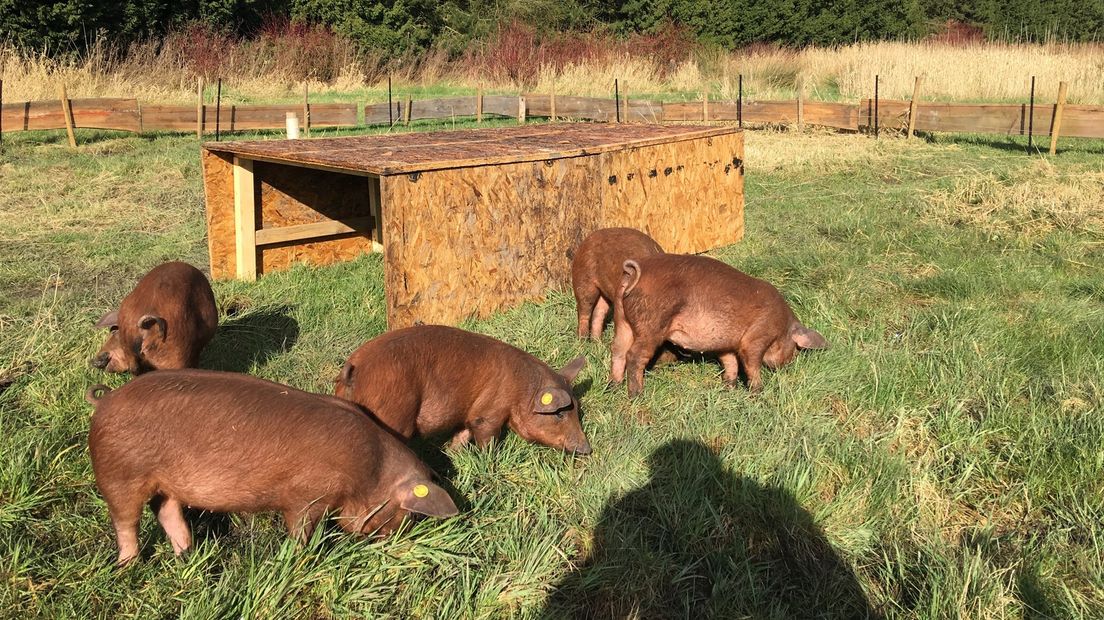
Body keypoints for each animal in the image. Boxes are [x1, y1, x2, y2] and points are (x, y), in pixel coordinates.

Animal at [85, 366, 457, 564]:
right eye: (407, 513)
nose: (390, 542)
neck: (369, 471)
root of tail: (106, 400)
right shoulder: (306, 496)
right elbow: (301, 530)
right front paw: (301, 559)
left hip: (166, 484)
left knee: (168, 512)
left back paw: (188, 556)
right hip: (120, 473)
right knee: (126, 522)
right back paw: (129, 565)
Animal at [335, 324, 596, 454]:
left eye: (577, 410)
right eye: (559, 413)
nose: (587, 449)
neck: (521, 391)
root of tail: (354, 369)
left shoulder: (467, 415)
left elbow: (462, 435)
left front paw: (453, 453)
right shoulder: (488, 414)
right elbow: (487, 438)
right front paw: (488, 459)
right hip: (392, 414)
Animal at [613, 252, 830, 392]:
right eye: (795, 349)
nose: (787, 366)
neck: (783, 325)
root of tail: (636, 271)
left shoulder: (726, 345)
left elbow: (730, 363)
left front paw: (729, 388)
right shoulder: (758, 335)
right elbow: (751, 362)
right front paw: (758, 391)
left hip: (621, 319)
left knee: (617, 350)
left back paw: (614, 386)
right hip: (652, 322)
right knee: (634, 355)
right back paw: (637, 394)